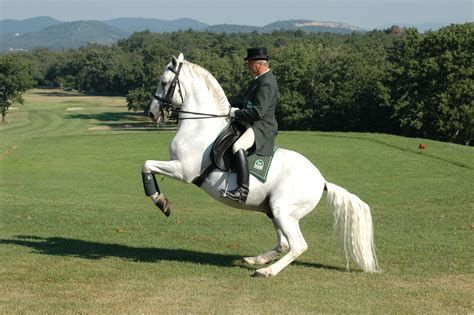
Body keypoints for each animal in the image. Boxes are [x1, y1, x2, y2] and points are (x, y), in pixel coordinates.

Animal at [143, 53, 380, 278]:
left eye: (164, 82)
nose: (152, 113)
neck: (200, 126)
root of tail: (321, 180)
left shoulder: (183, 170)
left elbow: (146, 165)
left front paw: (161, 202)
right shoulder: (180, 168)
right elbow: (147, 166)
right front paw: (162, 201)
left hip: (283, 210)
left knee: (297, 246)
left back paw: (266, 271)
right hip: (274, 211)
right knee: (284, 244)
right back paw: (255, 260)